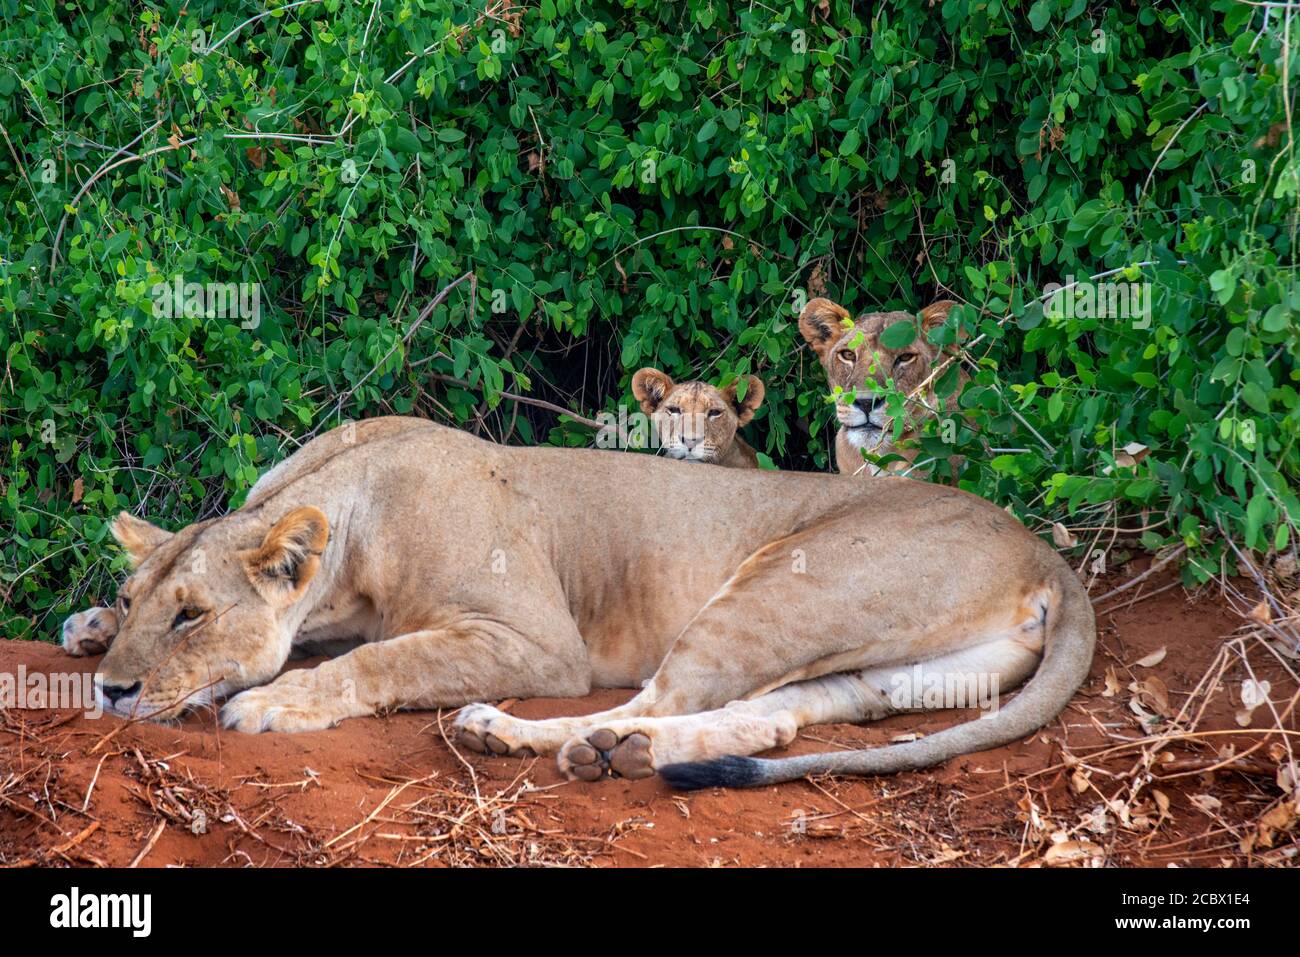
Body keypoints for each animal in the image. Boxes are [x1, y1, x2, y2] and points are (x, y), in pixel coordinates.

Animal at [67, 415, 1093, 789]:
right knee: (767, 719)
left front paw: (274, 701)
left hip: (785, 583)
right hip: (886, 670)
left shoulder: (534, 639)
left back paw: (526, 735)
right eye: (138, 594)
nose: (113, 694)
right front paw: (88, 626)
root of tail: (1047, 553)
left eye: (192, 615)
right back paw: (629, 751)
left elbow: (386, 654)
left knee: (662, 695)